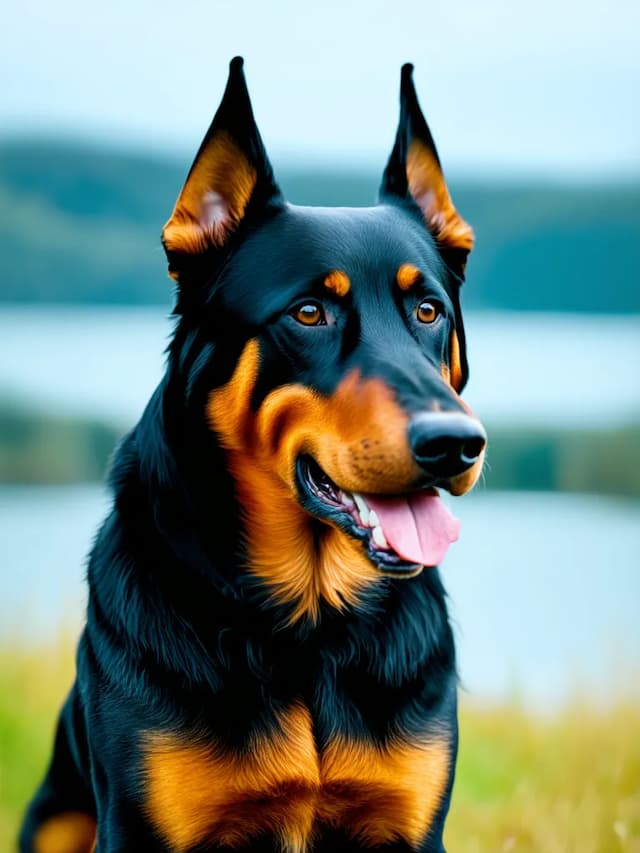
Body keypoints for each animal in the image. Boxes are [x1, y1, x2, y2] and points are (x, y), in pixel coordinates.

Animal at [18, 56, 484, 848]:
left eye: (428, 310)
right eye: (309, 312)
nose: (455, 444)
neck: (311, 629)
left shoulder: (412, 825)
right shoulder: (138, 825)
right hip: (56, 816)